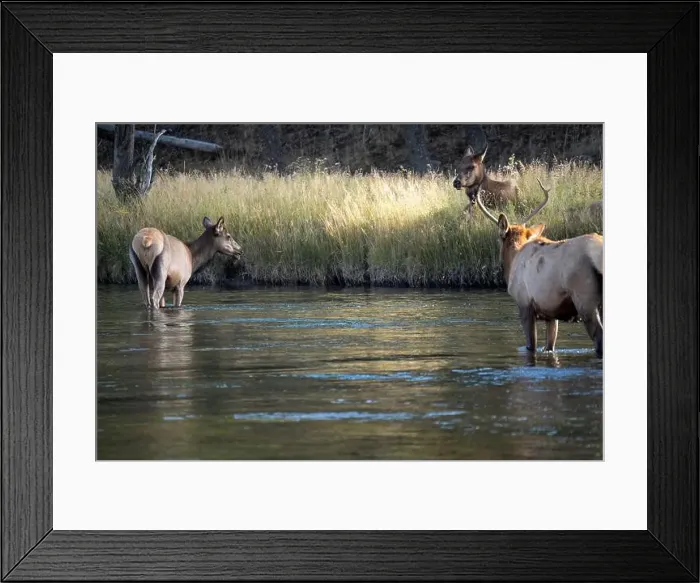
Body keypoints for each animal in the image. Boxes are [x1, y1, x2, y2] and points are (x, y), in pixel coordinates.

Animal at [475, 179, 603, 358]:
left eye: (498, 239)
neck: (513, 259)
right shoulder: (551, 313)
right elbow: (549, 345)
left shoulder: (524, 305)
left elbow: (531, 346)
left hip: (585, 298)